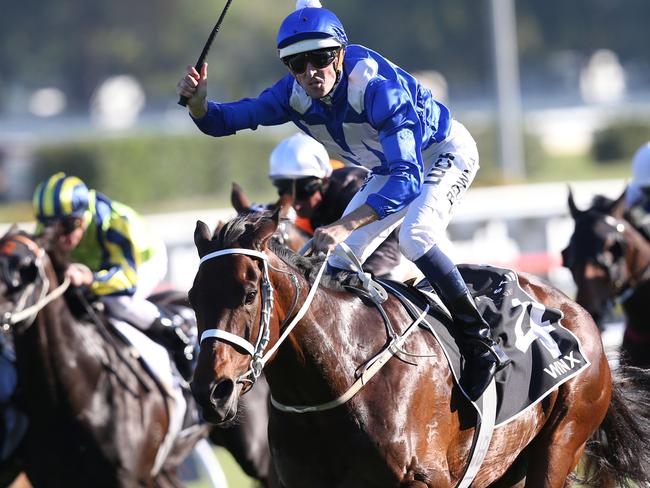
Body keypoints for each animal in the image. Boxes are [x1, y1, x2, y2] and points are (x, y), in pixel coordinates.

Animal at [186, 213, 648, 488]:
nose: (212, 392)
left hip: (560, 442)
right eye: (192, 298)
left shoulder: (427, 480)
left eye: (249, 294)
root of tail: (577, 312)